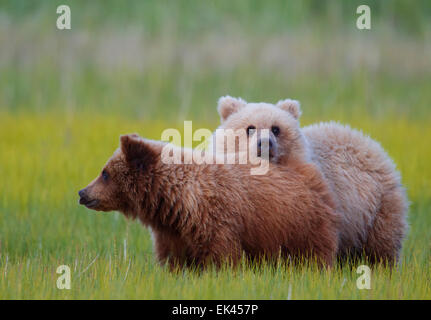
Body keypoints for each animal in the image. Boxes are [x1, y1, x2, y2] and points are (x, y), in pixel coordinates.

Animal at [79, 134, 340, 268]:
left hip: (301, 225)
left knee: (314, 255)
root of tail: (308, 172)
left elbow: (222, 256)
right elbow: (173, 259)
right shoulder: (172, 231)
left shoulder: (215, 217)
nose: (83, 193)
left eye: (104, 173)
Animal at [214, 95, 410, 264]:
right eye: (250, 128)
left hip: (377, 209)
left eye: (276, 128)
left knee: (381, 246)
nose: (265, 143)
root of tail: (371, 143)